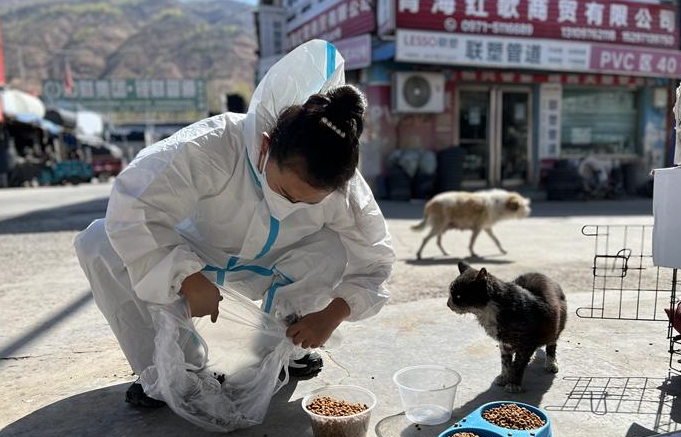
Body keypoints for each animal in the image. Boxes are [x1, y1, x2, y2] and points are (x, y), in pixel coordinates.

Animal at [448, 258, 564, 392]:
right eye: (450, 292)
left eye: (458, 296)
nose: (448, 304)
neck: (487, 311)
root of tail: (546, 277)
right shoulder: (505, 343)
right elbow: (505, 362)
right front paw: (504, 377)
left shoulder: (526, 342)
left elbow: (518, 365)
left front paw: (513, 383)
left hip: (554, 327)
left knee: (552, 345)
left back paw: (551, 363)